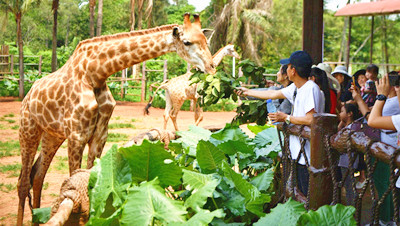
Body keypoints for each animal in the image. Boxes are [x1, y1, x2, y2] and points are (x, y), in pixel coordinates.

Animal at [17, 13, 216, 225]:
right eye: (187, 42)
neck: (95, 73)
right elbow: (74, 178)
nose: (212, 67)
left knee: (37, 176)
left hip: (52, 135)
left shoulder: (99, 135)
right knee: (23, 182)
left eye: (206, 41)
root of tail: (27, 96)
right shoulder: (77, 135)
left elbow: (93, 184)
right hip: (28, 130)